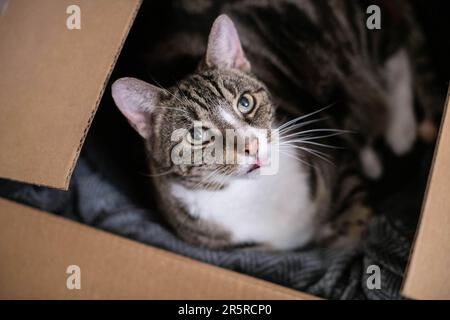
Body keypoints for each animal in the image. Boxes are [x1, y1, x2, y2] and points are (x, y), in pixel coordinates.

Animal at [110, 0, 438, 250]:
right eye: (197, 134)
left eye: (245, 103)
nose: (251, 144)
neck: (258, 194)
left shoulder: (333, 151)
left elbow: (352, 224)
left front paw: (344, 238)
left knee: (397, 51)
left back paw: (401, 130)